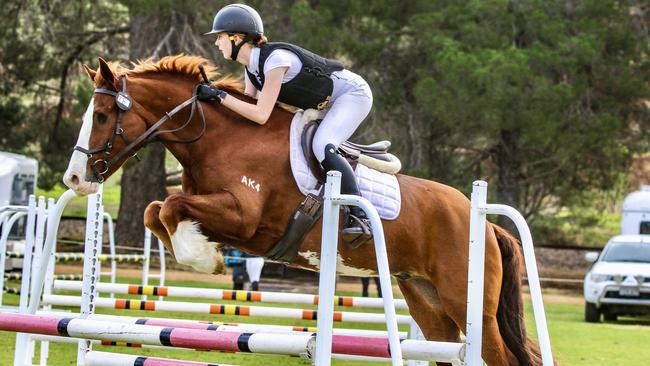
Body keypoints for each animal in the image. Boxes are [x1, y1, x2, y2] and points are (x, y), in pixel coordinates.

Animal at [64, 55, 540, 366]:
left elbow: (170, 207)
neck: (221, 139)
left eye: (102, 115)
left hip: (469, 303)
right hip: (428, 300)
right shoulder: (230, 223)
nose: (74, 179)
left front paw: (203, 259)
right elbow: (156, 210)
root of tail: (483, 222)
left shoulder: (245, 220)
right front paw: (200, 254)